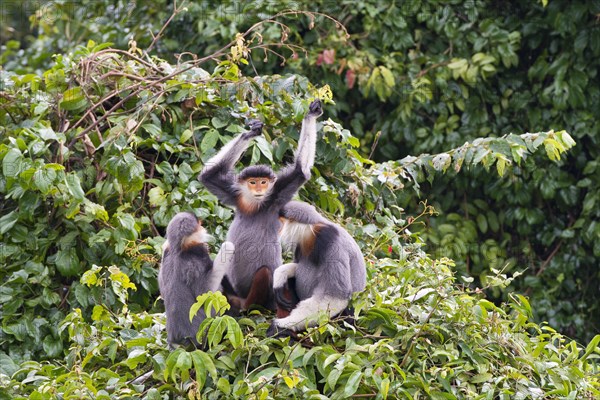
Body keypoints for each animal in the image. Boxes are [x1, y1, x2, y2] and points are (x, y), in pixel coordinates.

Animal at [158, 212, 236, 346]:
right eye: (199, 224)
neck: (177, 249)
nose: (202, 227)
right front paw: (228, 247)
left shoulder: (165, 252)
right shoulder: (196, 255)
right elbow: (205, 292)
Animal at [199, 98, 324, 310]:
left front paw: (311, 114)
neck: (255, 205)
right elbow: (208, 175)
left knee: (264, 273)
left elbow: (300, 171)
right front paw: (251, 132)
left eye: (264, 182)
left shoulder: (276, 197)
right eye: (253, 182)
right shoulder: (236, 195)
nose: (259, 189)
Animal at [268, 202, 366, 336]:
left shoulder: (329, 240)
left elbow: (335, 297)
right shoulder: (300, 244)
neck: (311, 234)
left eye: (280, 223)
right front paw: (280, 275)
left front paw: (282, 324)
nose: (277, 231)